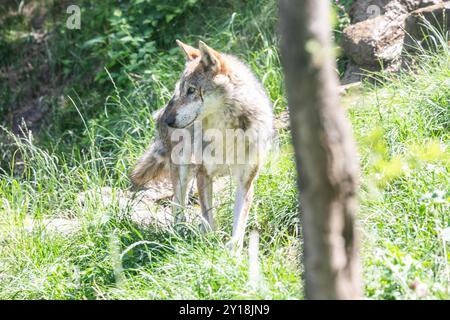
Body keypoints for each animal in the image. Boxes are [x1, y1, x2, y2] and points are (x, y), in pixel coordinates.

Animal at [128, 39, 272, 250]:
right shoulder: (204, 174)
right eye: (182, 90)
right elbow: (208, 218)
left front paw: (233, 252)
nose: (167, 120)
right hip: (183, 169)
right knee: (178, 203)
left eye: (191, 90)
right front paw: (210, 244)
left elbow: (239, 225)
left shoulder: (246, 181)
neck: (226, 132)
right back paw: (179, 232)